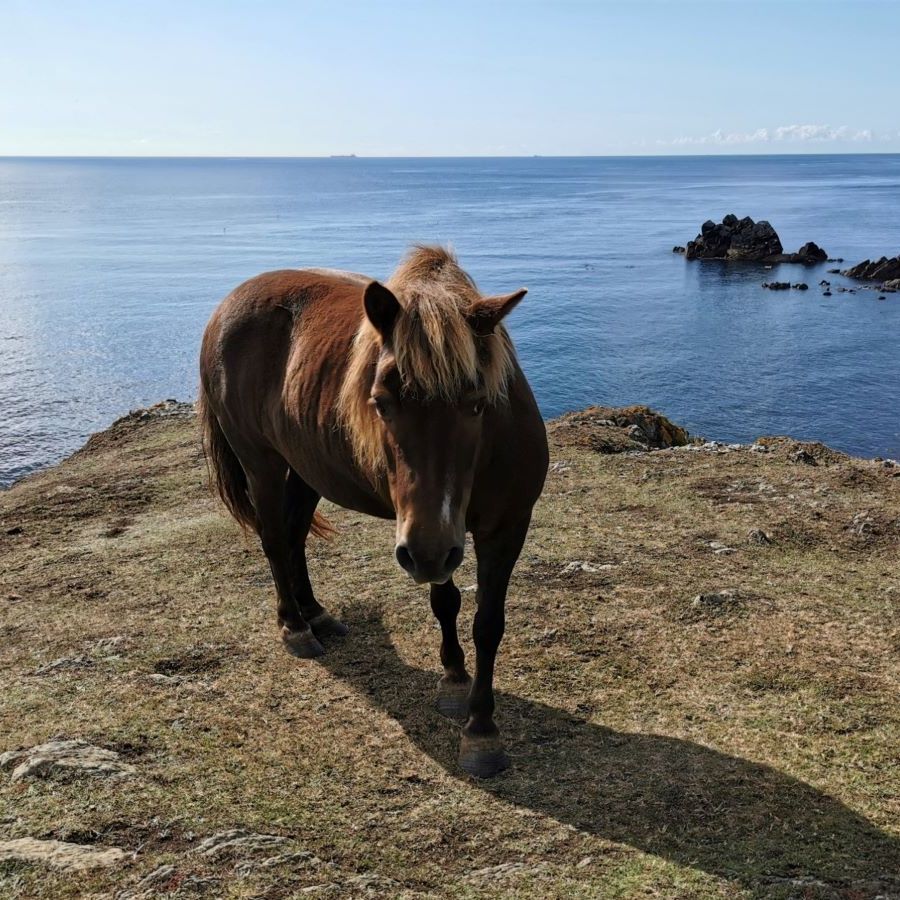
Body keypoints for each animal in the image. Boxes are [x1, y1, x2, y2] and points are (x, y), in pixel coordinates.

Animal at [198, 246, 548, 777]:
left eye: (476, 404)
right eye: (381, 402)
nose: (422, 553)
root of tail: (225, 309)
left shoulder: (494, 531)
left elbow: (482, 621)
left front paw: (470, 708)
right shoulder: (434, 530)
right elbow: (449, 602)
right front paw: (468, 708)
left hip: (308, 467)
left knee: (294, 534)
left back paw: (316, 613)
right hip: (260, 462)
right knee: (274, 538)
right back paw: (295, 627)